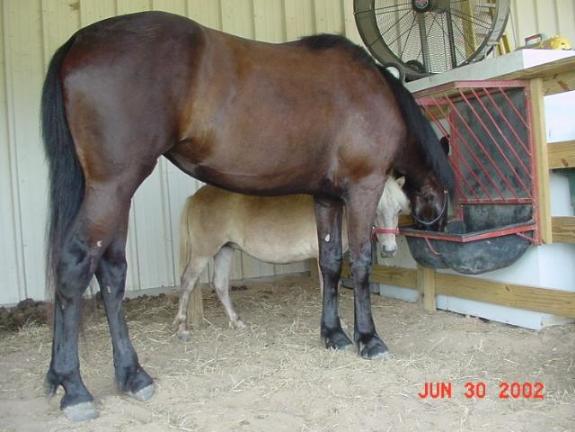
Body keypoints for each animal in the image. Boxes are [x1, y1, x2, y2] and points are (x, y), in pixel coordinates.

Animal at [173, 176, 410, 339]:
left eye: (399, 210)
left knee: (220, 284)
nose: (389, 249)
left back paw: (236, 321)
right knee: (188, 281)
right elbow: (328, 287)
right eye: (375, 210)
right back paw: (183, 327)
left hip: (225, 250)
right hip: (203, 252)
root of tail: (195, 197)